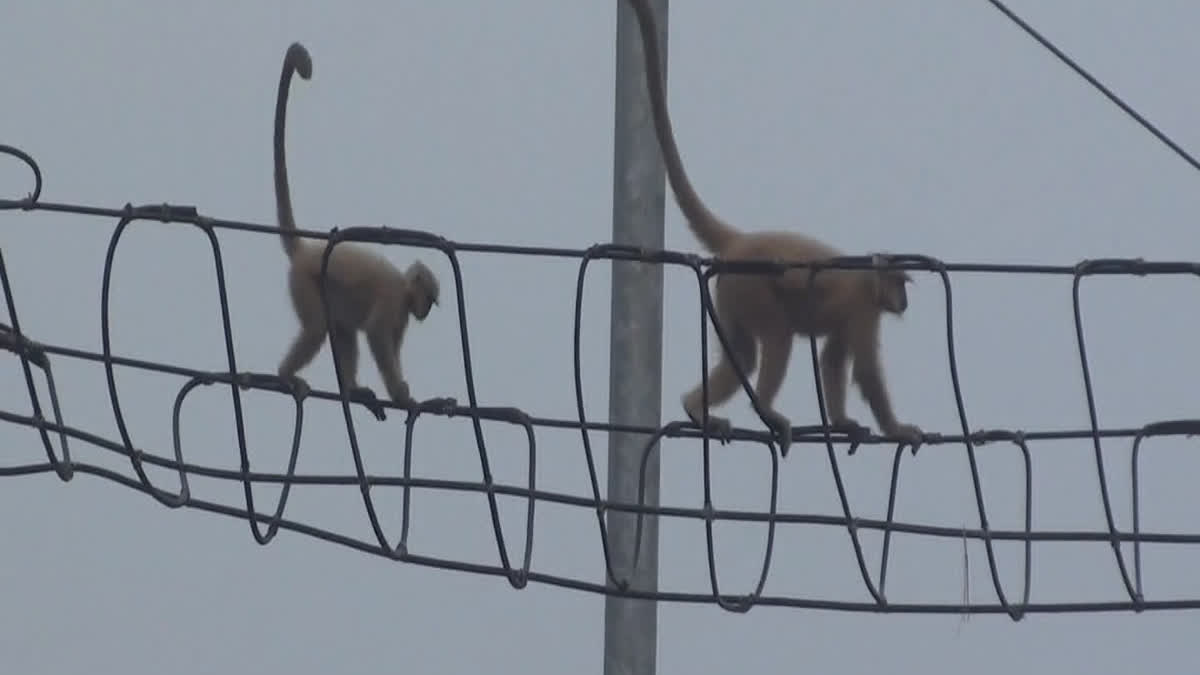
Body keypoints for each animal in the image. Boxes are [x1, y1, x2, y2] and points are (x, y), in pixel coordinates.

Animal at [272, 44, 441, 410]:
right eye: (430, 299)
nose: (425, 313)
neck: (404, 288)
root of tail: (306, 251)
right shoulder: (395, 302)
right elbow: (376, 334)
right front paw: (401, 394)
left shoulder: (402, 312)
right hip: (304, 284)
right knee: (318, 328)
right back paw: (284, 375)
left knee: (342, 330)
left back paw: (351, 389)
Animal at [624, 2, 921, 451]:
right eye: (901, 285)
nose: (904, 301)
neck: (868, 277)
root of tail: (741, 241)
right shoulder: (863, 306)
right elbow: (864, 373)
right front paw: (898, 428)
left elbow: (832, 359)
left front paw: (843, 422)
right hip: (749, 286)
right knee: (777, 336)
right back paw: (764, 410)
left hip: (729, 292)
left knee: (744, 354)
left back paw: (696, 409)